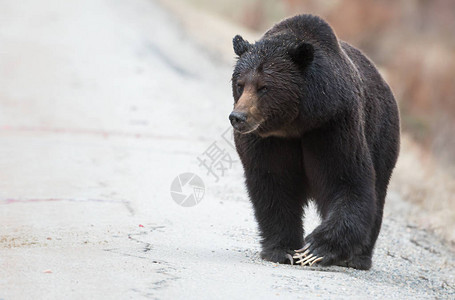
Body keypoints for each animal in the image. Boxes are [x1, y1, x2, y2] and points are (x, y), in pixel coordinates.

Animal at [230, 14, 400, 270]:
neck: (294, 124)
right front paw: (283, 249)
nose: (238, 117)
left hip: (382, 135)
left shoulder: (333, 126)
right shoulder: (266, 142)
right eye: (240, 84)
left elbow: (347, 180)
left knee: (378, 192)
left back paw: (357, 257)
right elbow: (273, 185)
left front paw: (314, 249)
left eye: (264, 87)